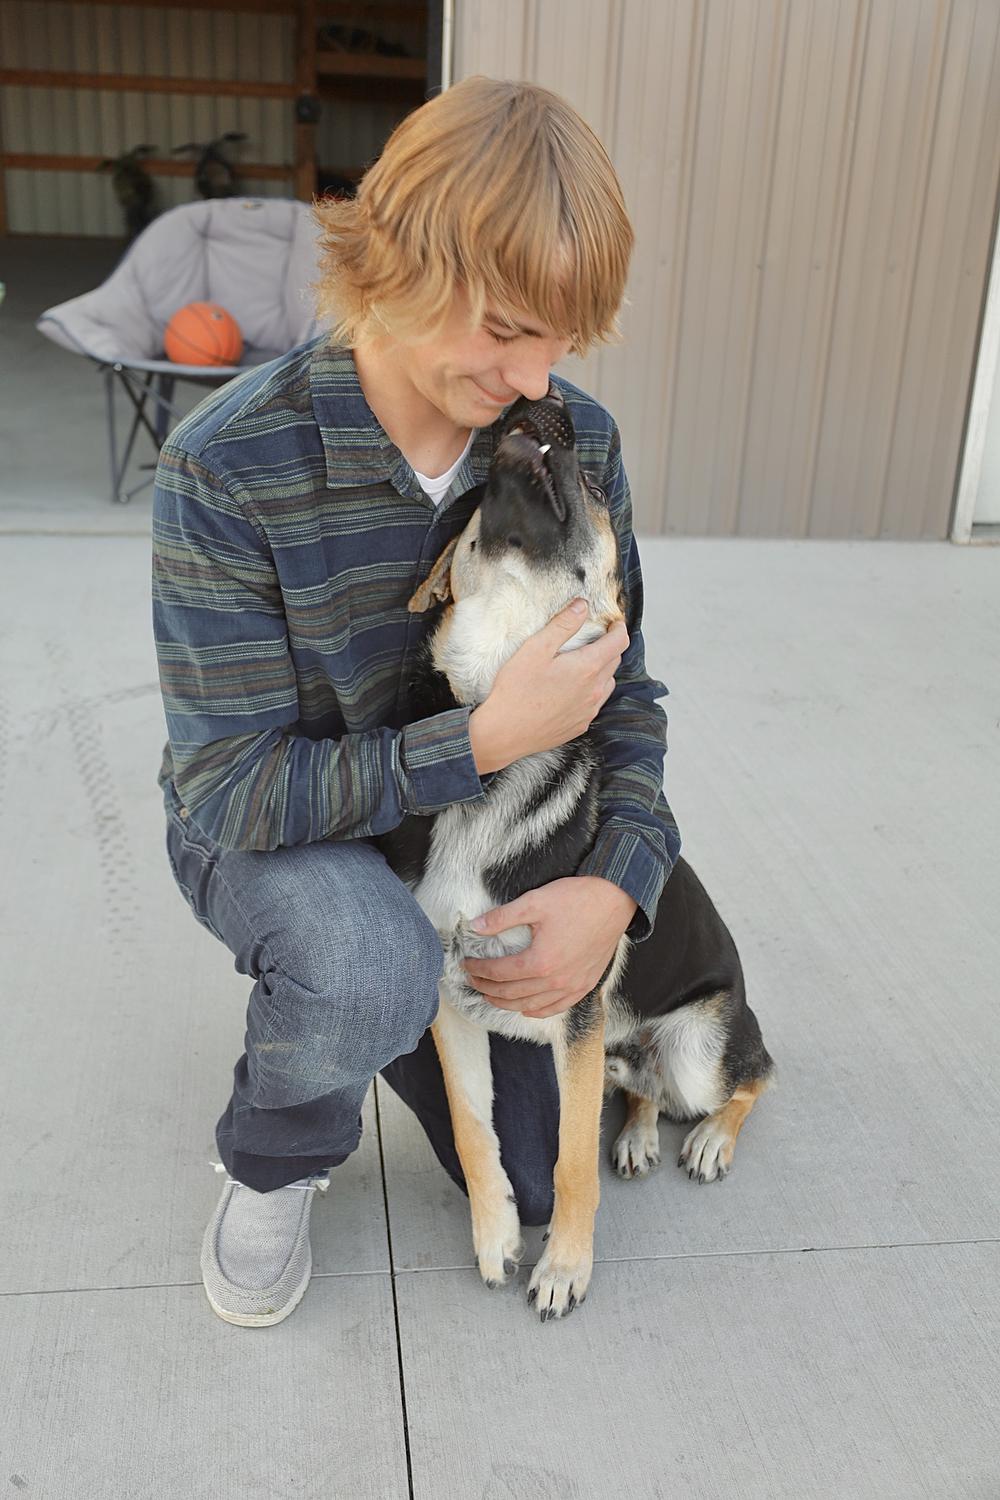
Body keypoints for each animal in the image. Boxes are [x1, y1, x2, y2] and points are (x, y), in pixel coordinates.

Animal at [376, 384, 774, 1321]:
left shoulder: (577, 1016)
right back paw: (635, 1137)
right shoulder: (452, 1006)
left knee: (753, 1075)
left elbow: (564, 1165)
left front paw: (563, 1268)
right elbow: (475, 1131)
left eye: (593, 489)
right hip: (620, 1051)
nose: (545, 404)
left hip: (698, 1049)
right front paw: (495, 1238)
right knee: (636, 1091)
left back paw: (709, 1140)